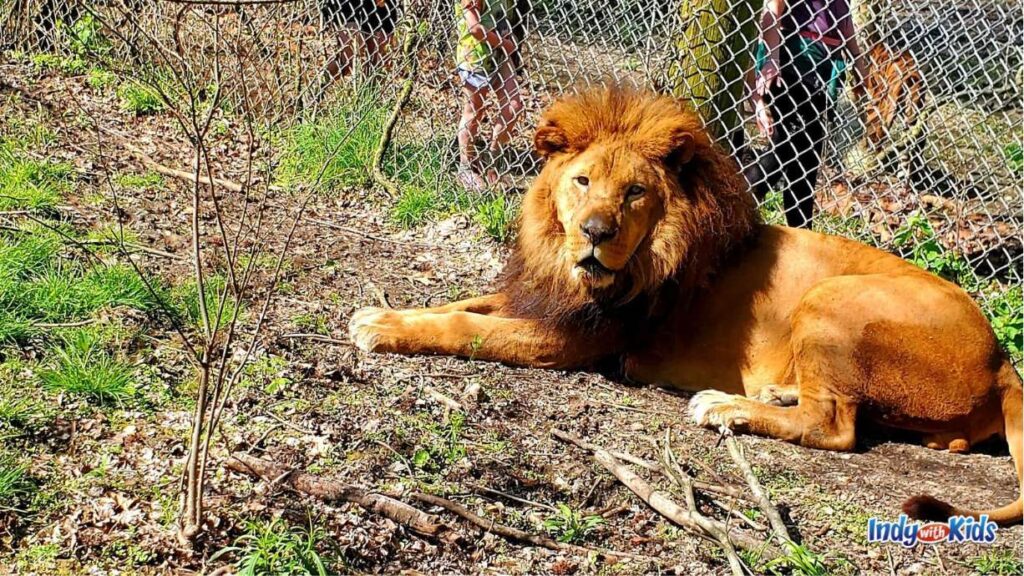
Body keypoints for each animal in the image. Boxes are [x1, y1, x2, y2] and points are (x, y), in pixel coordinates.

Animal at [348, 86, 1019, 524]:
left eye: (634, 193)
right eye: (582, 181)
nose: (595, 232)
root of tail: (1003, 364)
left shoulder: (575, 338)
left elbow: (466, 325)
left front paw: (381, 326)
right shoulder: (539, 298)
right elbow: (466, 300)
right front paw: (383, 310)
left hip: (835, 295)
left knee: (836, 426)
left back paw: (726, 406)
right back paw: (773, 392)